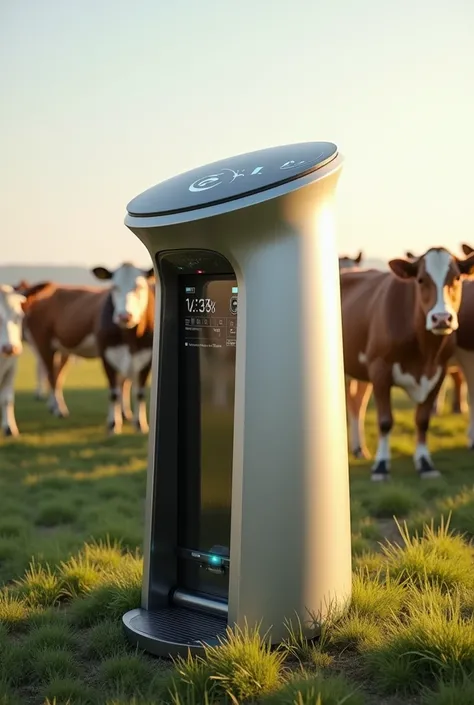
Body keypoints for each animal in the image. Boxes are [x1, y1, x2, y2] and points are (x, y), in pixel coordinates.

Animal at [90, 262, 154, 432]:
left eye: (139, 286)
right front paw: (113, 424)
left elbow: (140, 393)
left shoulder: (146, 359)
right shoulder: (107, 358)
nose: (125, 316)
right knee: (118, 388)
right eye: (114, 287)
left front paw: (140, 424)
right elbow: (113, 393)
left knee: (125, 385)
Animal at [340, 245, 474, 482]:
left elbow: (423, 419)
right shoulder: (380, 369)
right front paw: (381, 466)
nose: (442, 318)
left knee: (357, 404)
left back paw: (359, 449)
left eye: (457, 278)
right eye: (420, 280)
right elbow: (385, 421)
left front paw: (425, 463)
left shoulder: (438, 372)